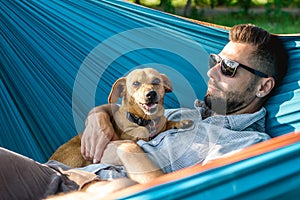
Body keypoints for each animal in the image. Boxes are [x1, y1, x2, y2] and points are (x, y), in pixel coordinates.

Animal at [49, 68, 193, 168]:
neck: (145, 119)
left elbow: (168, 122)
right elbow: (141, 131)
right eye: (136, 83)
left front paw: (182, 122)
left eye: (156, 81)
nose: (151, 94)